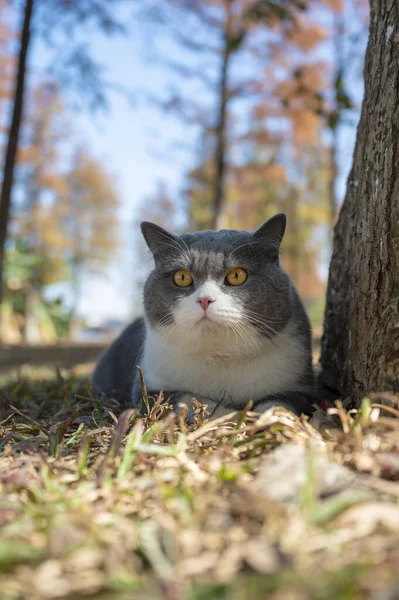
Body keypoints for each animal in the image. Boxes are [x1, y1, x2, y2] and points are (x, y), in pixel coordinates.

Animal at [92, 214, 318, 418]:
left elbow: (277, 403)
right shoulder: (148, 388)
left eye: (237, 275)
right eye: (181, 277)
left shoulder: (300, 388)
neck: (219, 357)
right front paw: (230, 416)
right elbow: (189, 400)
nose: (205, 300)